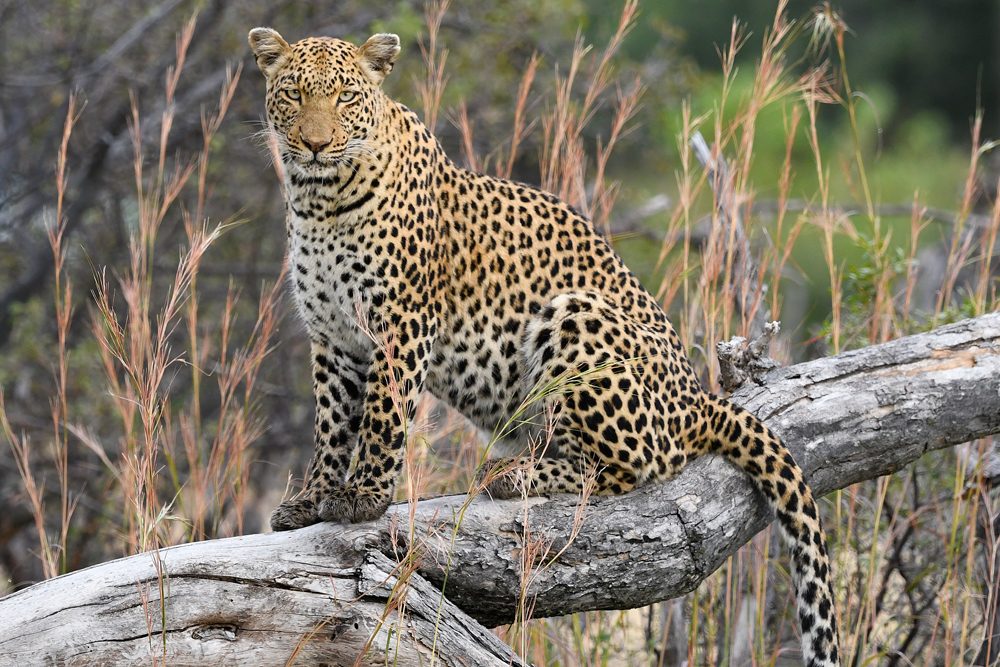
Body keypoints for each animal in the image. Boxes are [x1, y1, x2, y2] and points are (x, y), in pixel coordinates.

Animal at [248, 27, 836, 667]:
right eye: (294, 94)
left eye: (346, 97)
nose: (314, 144)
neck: (320, 199)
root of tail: (696, 398)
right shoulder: (332, 337)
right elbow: (332, 425)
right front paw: (313, 499)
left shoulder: (400, 323)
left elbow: (381, 417)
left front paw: (364, 497)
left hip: (576, 317)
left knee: (629, 465)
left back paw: (512, 474)